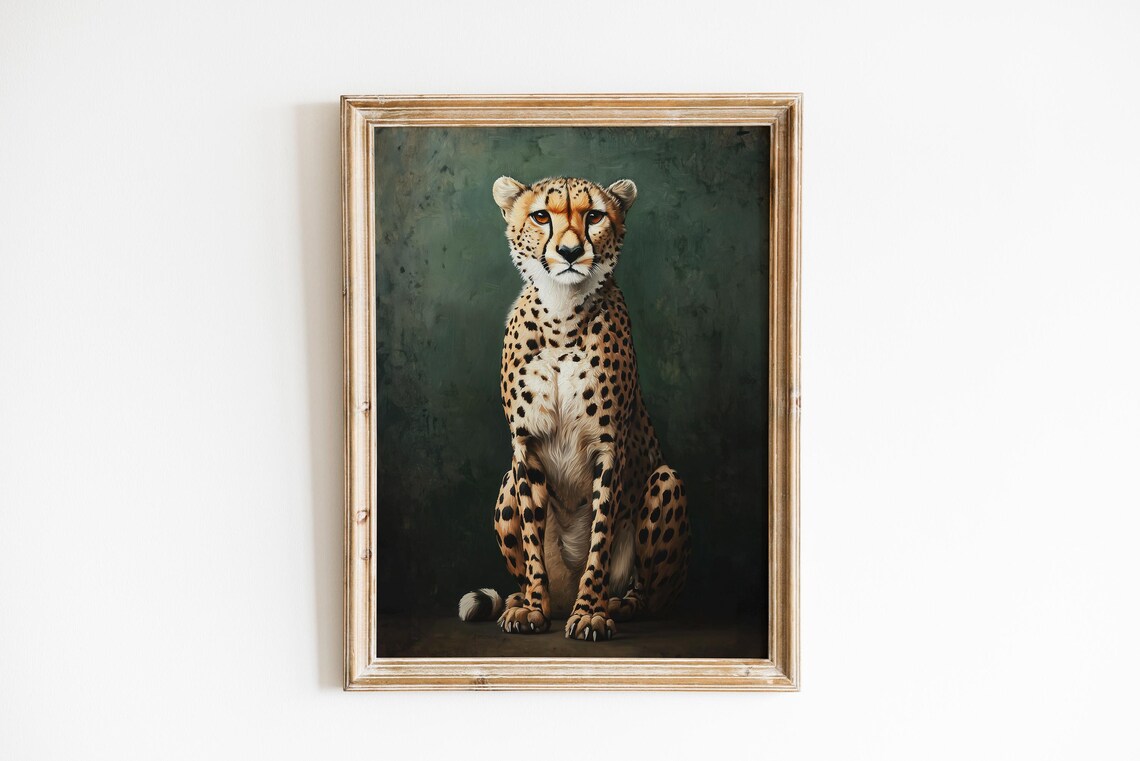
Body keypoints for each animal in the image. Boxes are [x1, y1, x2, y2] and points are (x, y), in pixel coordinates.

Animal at [458, 175, 691, 641]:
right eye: (541, 216)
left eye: (595, 215)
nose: (568, 252)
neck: (562, 314)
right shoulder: (525, 447)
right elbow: (532, 539)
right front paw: (532, 608)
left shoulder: (608, 447)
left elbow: (600, 538)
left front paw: (591, 612)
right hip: (506, 483)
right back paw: (529, 600)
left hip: (665, 480)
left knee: (653, 595)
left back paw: (619, 604)